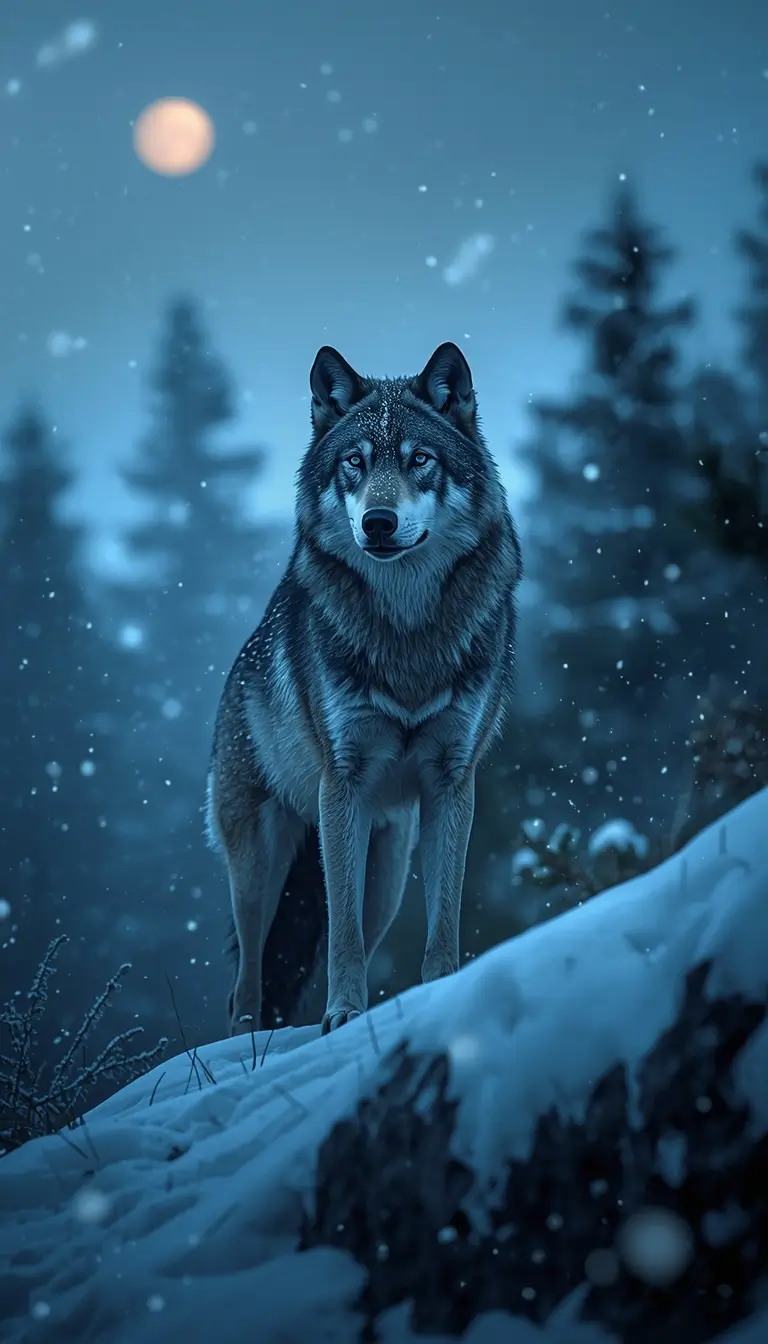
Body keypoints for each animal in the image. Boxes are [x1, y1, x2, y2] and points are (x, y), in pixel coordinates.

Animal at [206, 341, 522, 1035]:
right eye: (354, 463)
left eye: (419, 460)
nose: (378, 522)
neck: (408, 634)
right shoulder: (341, 783)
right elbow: (342, 936)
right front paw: (344, 1015)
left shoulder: (452, 781)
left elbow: (444, 923)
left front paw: (441, 996)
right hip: (260, 867)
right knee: (245, 986)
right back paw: (246, 1049)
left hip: (388, 875)